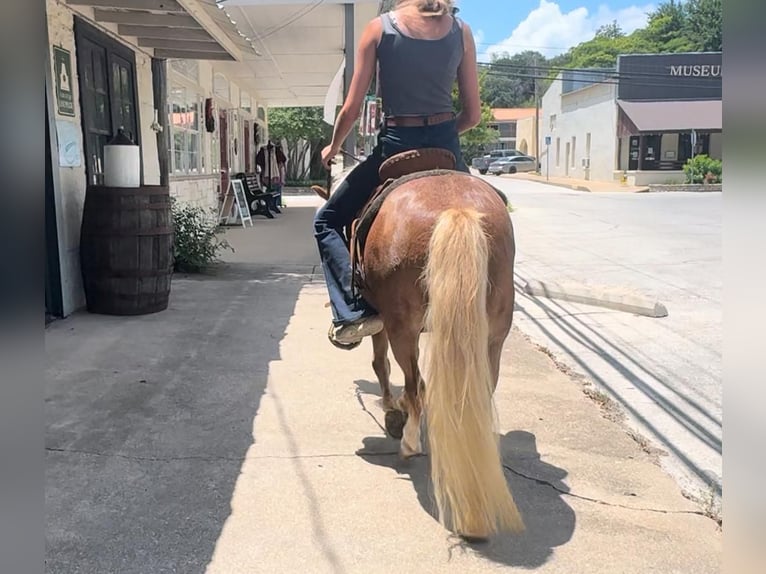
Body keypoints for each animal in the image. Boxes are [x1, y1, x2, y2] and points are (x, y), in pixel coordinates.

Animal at [316, 150, 524, 544]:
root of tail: (456, 209)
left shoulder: (382, 319)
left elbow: (381, 365)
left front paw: (390, 411)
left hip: (404, 327)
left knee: (413, 388)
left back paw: (409, 443)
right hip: (493, 335)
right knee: (478, 391)